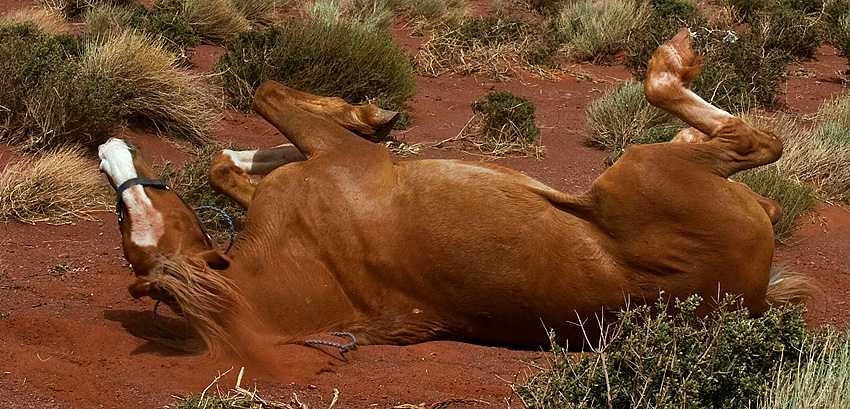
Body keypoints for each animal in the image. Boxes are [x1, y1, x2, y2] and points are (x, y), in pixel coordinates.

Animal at [97, 30, 800, 358]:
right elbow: (264, 101)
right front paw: (369, 114)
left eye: (145, 213)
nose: (108, 151)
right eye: (127, 220)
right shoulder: (342, 162)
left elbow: (230, 155)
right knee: (748, 141)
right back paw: (673, 65)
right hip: (642, 170)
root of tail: (748, 294)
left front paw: (370, 116)